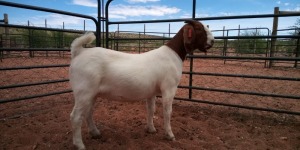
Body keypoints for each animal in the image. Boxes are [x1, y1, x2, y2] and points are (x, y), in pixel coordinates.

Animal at [69, 20, 214, 150]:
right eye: (199, 28)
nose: (212, 41)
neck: (173, 54)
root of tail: (80, 52)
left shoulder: (151, 92)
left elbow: (151, 110)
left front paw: (151, 129)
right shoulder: (169, 88)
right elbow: (167, 111)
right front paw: (170, 135)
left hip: (91, 94)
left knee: (88, 112)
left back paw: (95, 133)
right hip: (84, 91)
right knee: (76, 117)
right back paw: (80, 145)